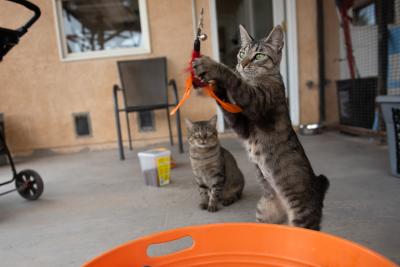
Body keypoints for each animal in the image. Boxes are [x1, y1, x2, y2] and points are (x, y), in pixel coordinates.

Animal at [192, 24, 330, 230]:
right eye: (242, 52)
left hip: (303, 219)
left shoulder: (257, 100)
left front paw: (212, 66)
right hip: (264, 212)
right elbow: (228, 108)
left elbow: (234, 79)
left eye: (258, 56)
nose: (242, 64)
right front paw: (215, 86)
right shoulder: (242, 126)